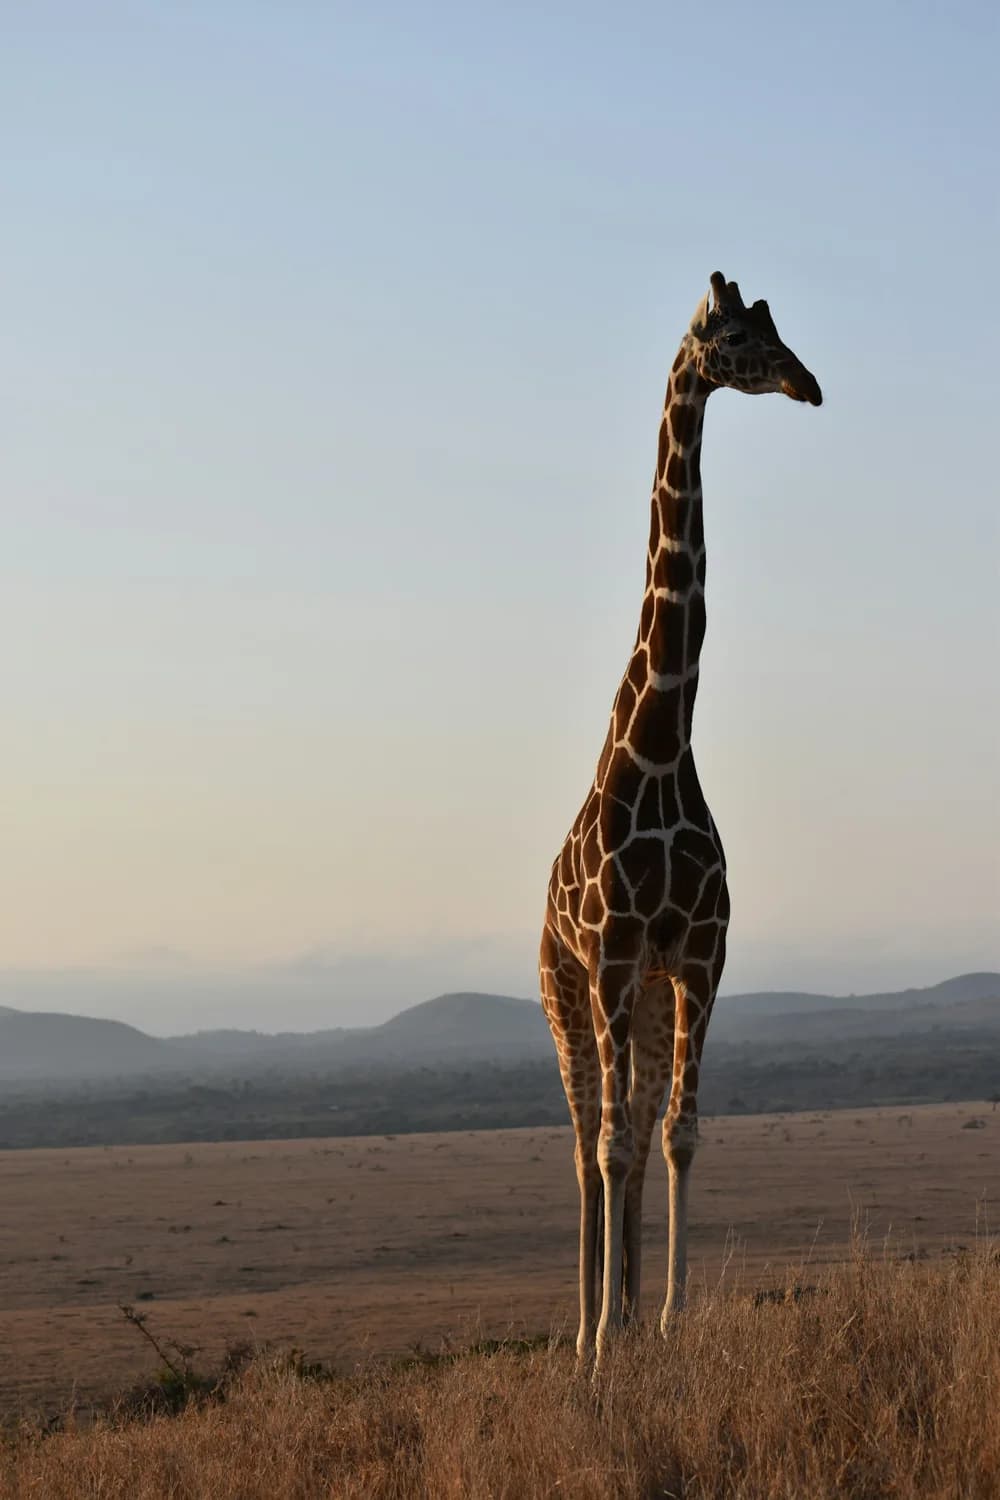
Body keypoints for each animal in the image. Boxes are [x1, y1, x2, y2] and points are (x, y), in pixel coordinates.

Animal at [540, 271, 822, 1364]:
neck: (661, 743)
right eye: (735, 339)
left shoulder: (697, 956)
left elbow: (677, 1133)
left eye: (779, 328)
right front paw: (603, 1343)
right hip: (566, 987)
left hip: (648, 997)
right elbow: (617, 1143)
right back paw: (585, 1329)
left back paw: (620, 1312)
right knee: (586, 1140)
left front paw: (663, 1319)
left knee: (630, 1120)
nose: (807, 384)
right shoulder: (615, 952)